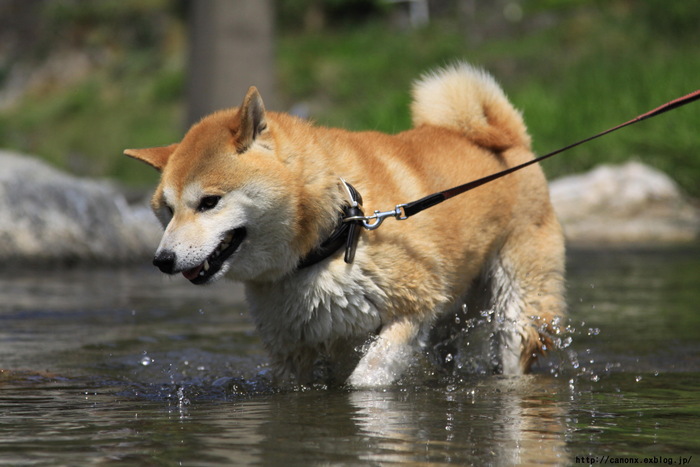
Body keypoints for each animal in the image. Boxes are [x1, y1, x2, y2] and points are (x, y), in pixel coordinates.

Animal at [124, 64, 564, 390]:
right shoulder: (294, 350)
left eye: (209, 202)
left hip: (517, 307)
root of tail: (512, 142)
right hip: (453, 319)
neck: (334, 230)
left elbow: (366, 378)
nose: (162, 260)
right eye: (167, 210)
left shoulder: (414, 307)